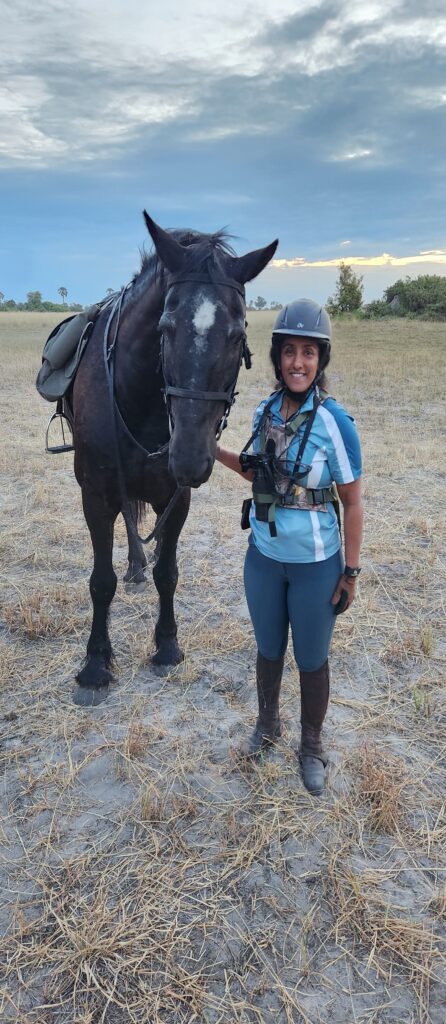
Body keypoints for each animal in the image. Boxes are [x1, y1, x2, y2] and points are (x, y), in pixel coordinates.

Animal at [71, 210, 276, 700]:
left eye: (237, 335)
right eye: (164, 328)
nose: (188, 459)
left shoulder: (176, 498)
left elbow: (169, 572)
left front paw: (166, 646)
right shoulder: (95, 496)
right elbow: (100, 581)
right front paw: (96, 663)